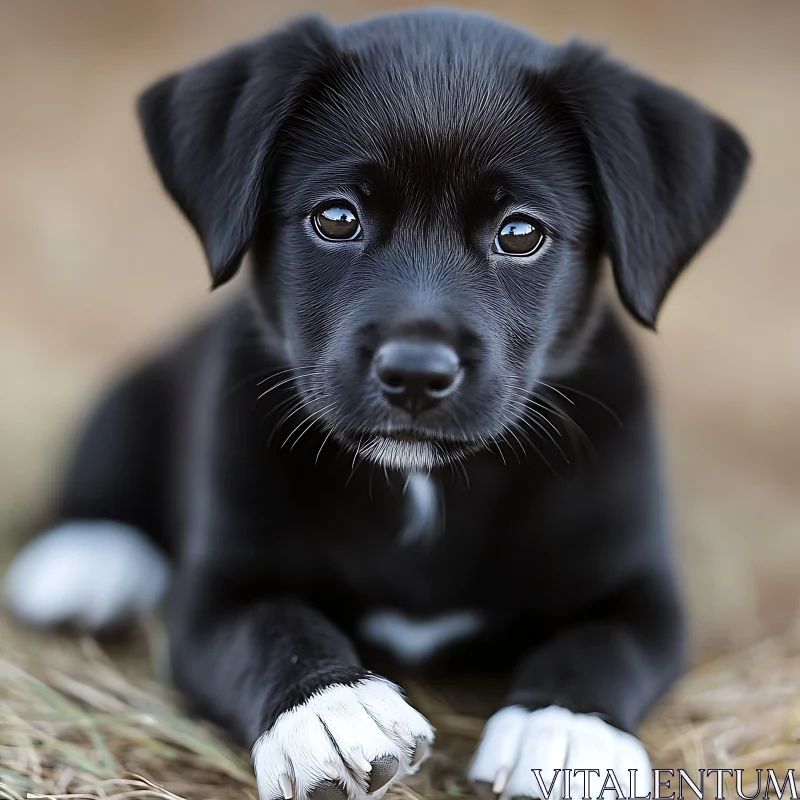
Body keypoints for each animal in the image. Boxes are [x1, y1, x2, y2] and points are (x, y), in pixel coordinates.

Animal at [4, 10, 752, 800]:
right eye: (337, 219)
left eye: (521, 233)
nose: (416, 375)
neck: (422, 485)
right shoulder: (217, 591)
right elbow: (273, 628)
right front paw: (329, 712)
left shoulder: (642, 590)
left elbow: (603, 644)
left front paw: (567, 732)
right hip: (139, 391)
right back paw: (87, 559)